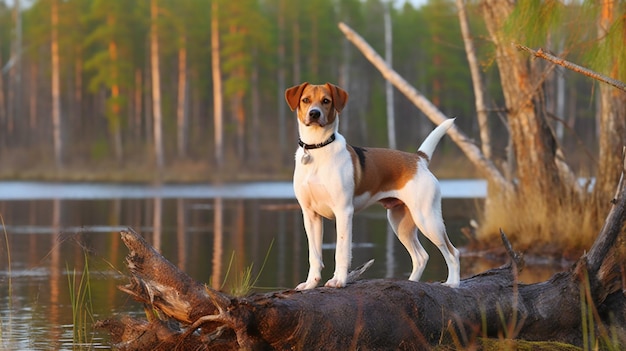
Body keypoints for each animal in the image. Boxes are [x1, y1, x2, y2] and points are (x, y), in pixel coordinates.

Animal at [284, 82, 458, 292]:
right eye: (306, 100)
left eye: (326, 101)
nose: (314, 114)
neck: (318, 148)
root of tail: (418, 159)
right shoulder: (310, 215)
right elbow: (314, 256)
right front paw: (311, 283)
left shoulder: (343, 212)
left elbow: (341, 251)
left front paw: (338, 281)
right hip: (400, 222)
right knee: (421, 257)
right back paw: (412, 283)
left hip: (428, 220)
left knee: (452, 252)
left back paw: (454, 283)